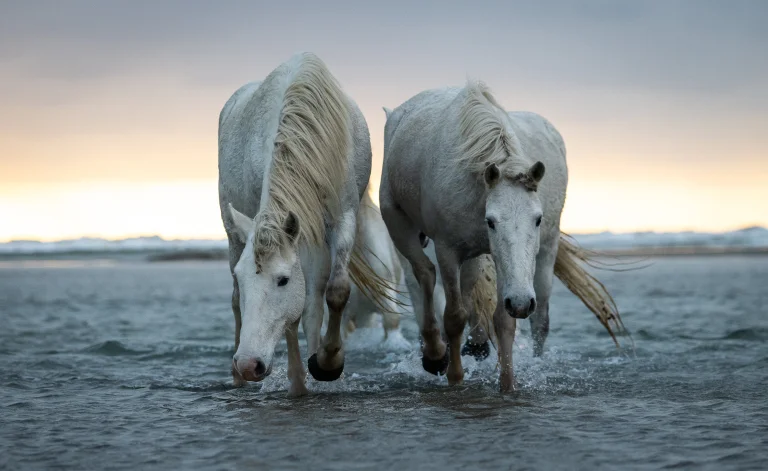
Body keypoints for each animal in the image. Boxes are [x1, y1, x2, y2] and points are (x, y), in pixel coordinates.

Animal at [218, 52, 391, 397]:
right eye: (243, 277)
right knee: (235, 301)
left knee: (315, 300)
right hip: (233, 231)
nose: (248, 363)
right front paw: (298, 381)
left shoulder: (341, 220)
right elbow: (290, 317)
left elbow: (333, 292)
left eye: (283, 280)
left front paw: (327, 363)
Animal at [380, 82, 624, 392]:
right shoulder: (448, 250)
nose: (522, 302)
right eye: (491, 222)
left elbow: (503, 320)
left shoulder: (497, 258)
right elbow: (454, 315)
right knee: (423, 273)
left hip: (533, 254)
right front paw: (455, 377)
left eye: (538, 219)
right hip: (398, 223)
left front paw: (508, 385)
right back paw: (435, 354)